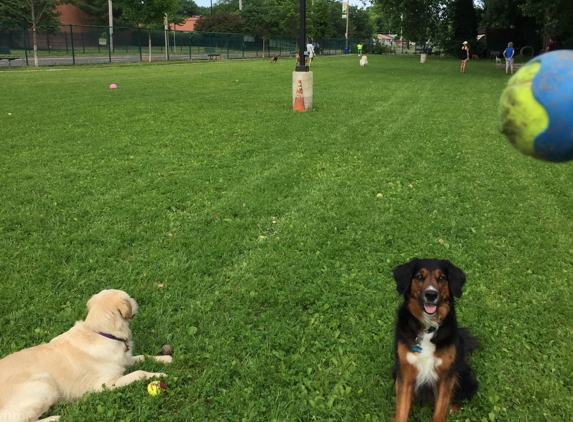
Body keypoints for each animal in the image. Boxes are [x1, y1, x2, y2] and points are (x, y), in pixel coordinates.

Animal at [0, 290, 171, 422]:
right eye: (129, 299)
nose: (136, 299)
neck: (102, 333)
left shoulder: (125, 360)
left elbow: (143, 356)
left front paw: (166, 359)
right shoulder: (105, 385)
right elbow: (139, 373)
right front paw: (159, 374)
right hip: (45, 384)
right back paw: (55, 417)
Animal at [388, 258, 478, 422]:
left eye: (441, 278)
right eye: (419, 277)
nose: (431, 294)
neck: (427, 329)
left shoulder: (447, 375)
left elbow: (440, 410)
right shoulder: (405, 371)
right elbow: (402, 408)